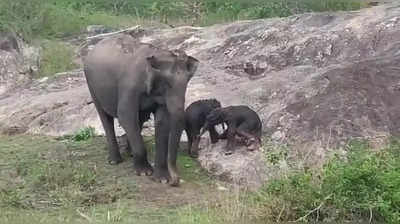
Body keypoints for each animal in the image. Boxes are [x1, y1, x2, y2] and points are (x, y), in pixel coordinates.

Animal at [83, 34, 200, 186]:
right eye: (167, 84)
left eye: (186, 84)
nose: (175, 181)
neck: (157, 53)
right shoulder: (129, 86)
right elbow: (125, 115)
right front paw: (145, 173)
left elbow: (163, 122)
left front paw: (162, 179)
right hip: (92, 86)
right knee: (106, 117)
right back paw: (115, 161)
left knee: (139, 120)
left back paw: (130, 153)